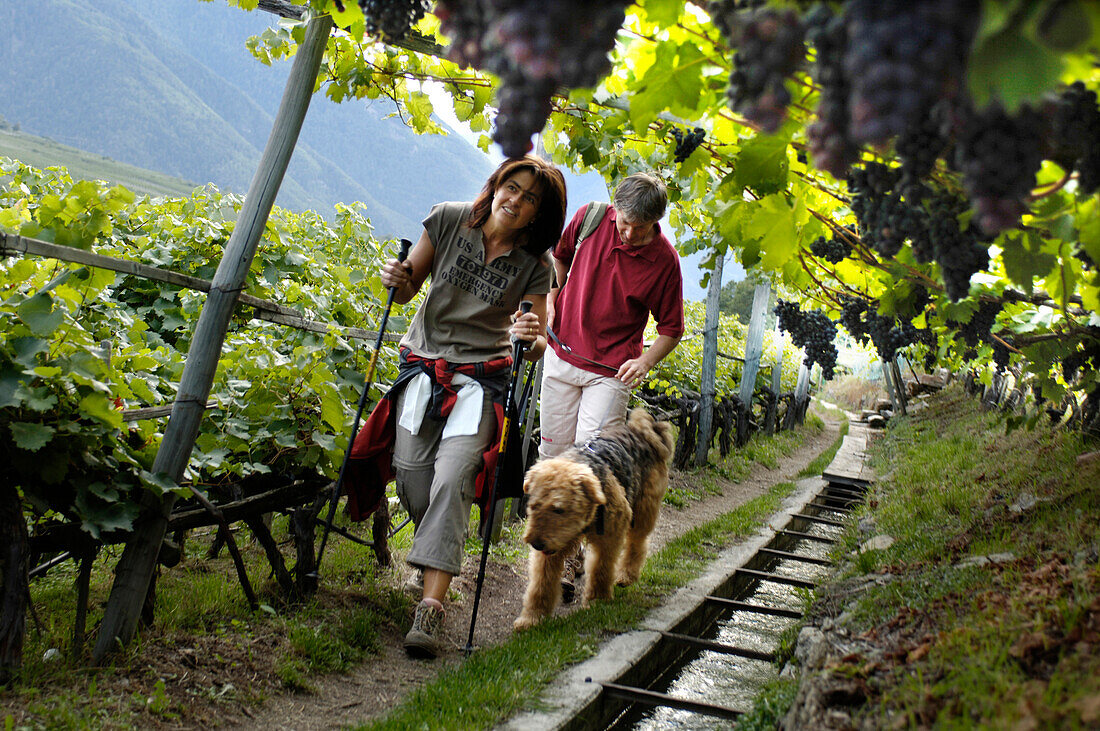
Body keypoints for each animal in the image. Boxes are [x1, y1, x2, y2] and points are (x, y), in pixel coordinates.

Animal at [517, 406, 677, 628]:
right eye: (534, 506)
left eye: (559, 509)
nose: (536, 543)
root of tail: (644, 431)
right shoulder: (552, 550)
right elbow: (541, 583)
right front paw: (532, 618)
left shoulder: (609, 536)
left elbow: (601, 569)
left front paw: (597, 600)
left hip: (643, 512)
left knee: (637, 545)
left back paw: (626, 576)